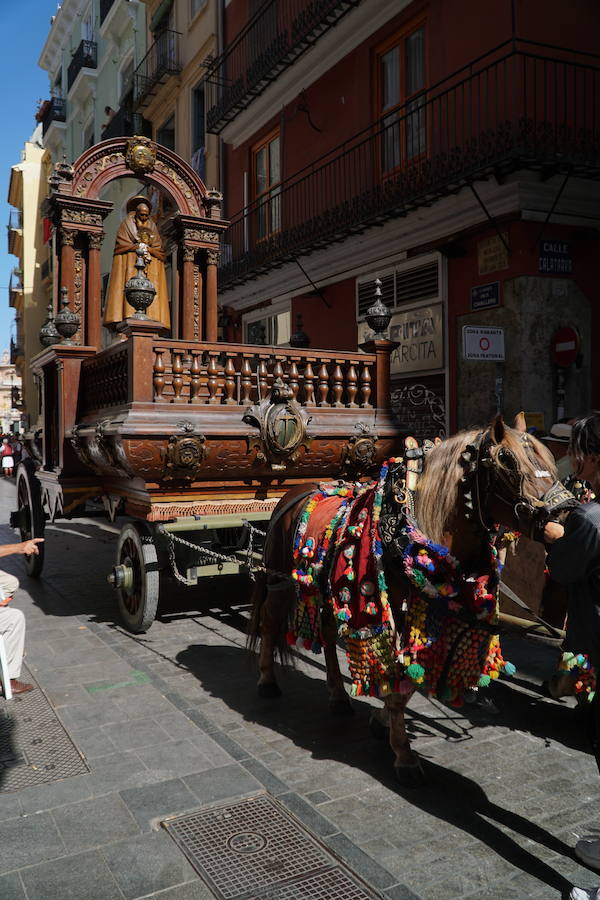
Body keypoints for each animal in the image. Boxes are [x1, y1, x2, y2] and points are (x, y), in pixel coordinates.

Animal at [247, 418, 572, 784]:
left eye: (547, 458)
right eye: (507, 461)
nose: (566, 512)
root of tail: (291, 493)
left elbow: (412, 679)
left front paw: (383, 723)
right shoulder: (392, 614)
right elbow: (397, 676)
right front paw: (403, 752)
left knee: (329, 636)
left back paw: (338, 697)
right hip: (280, 579)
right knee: (270, 622)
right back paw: (267, 681)